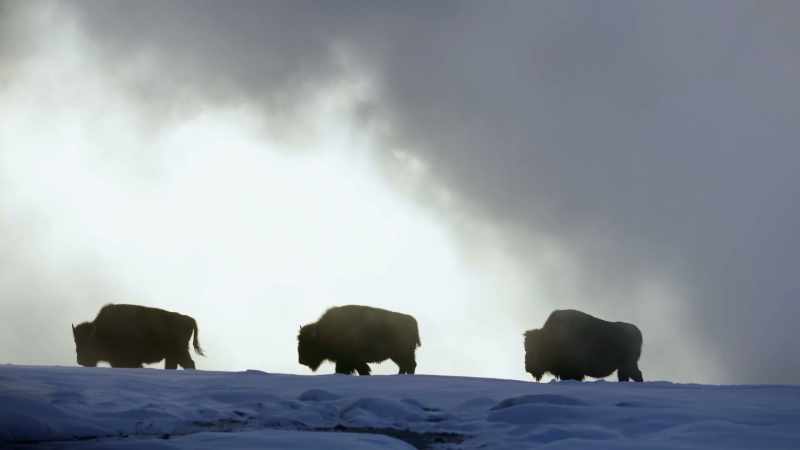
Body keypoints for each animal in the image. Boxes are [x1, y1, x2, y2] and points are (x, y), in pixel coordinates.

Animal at [72, 303, 204, 369]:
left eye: (88, 342)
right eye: (76, 341)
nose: (80, 360)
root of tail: (189, 319)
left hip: (179, 352)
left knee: (189, 364)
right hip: (172, 355)